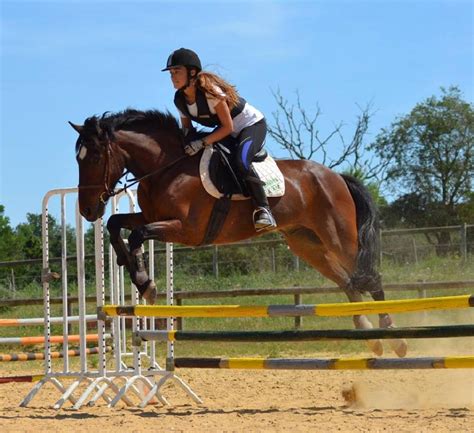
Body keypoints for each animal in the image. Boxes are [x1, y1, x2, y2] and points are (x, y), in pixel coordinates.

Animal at [69, 109, 408, 358]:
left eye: (95, 157)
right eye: (78, 159)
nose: (87, 210)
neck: (166, 168)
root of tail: (336, 176)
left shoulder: (186, 229)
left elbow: (138, 234)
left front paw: (146, 283)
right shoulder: (153, 218)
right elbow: (117, 225)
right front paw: (132, 269)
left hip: (339, 237)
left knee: (369, 278)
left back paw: (394, 337)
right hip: (307, 244)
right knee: (348, 282)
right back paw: (371, 336)